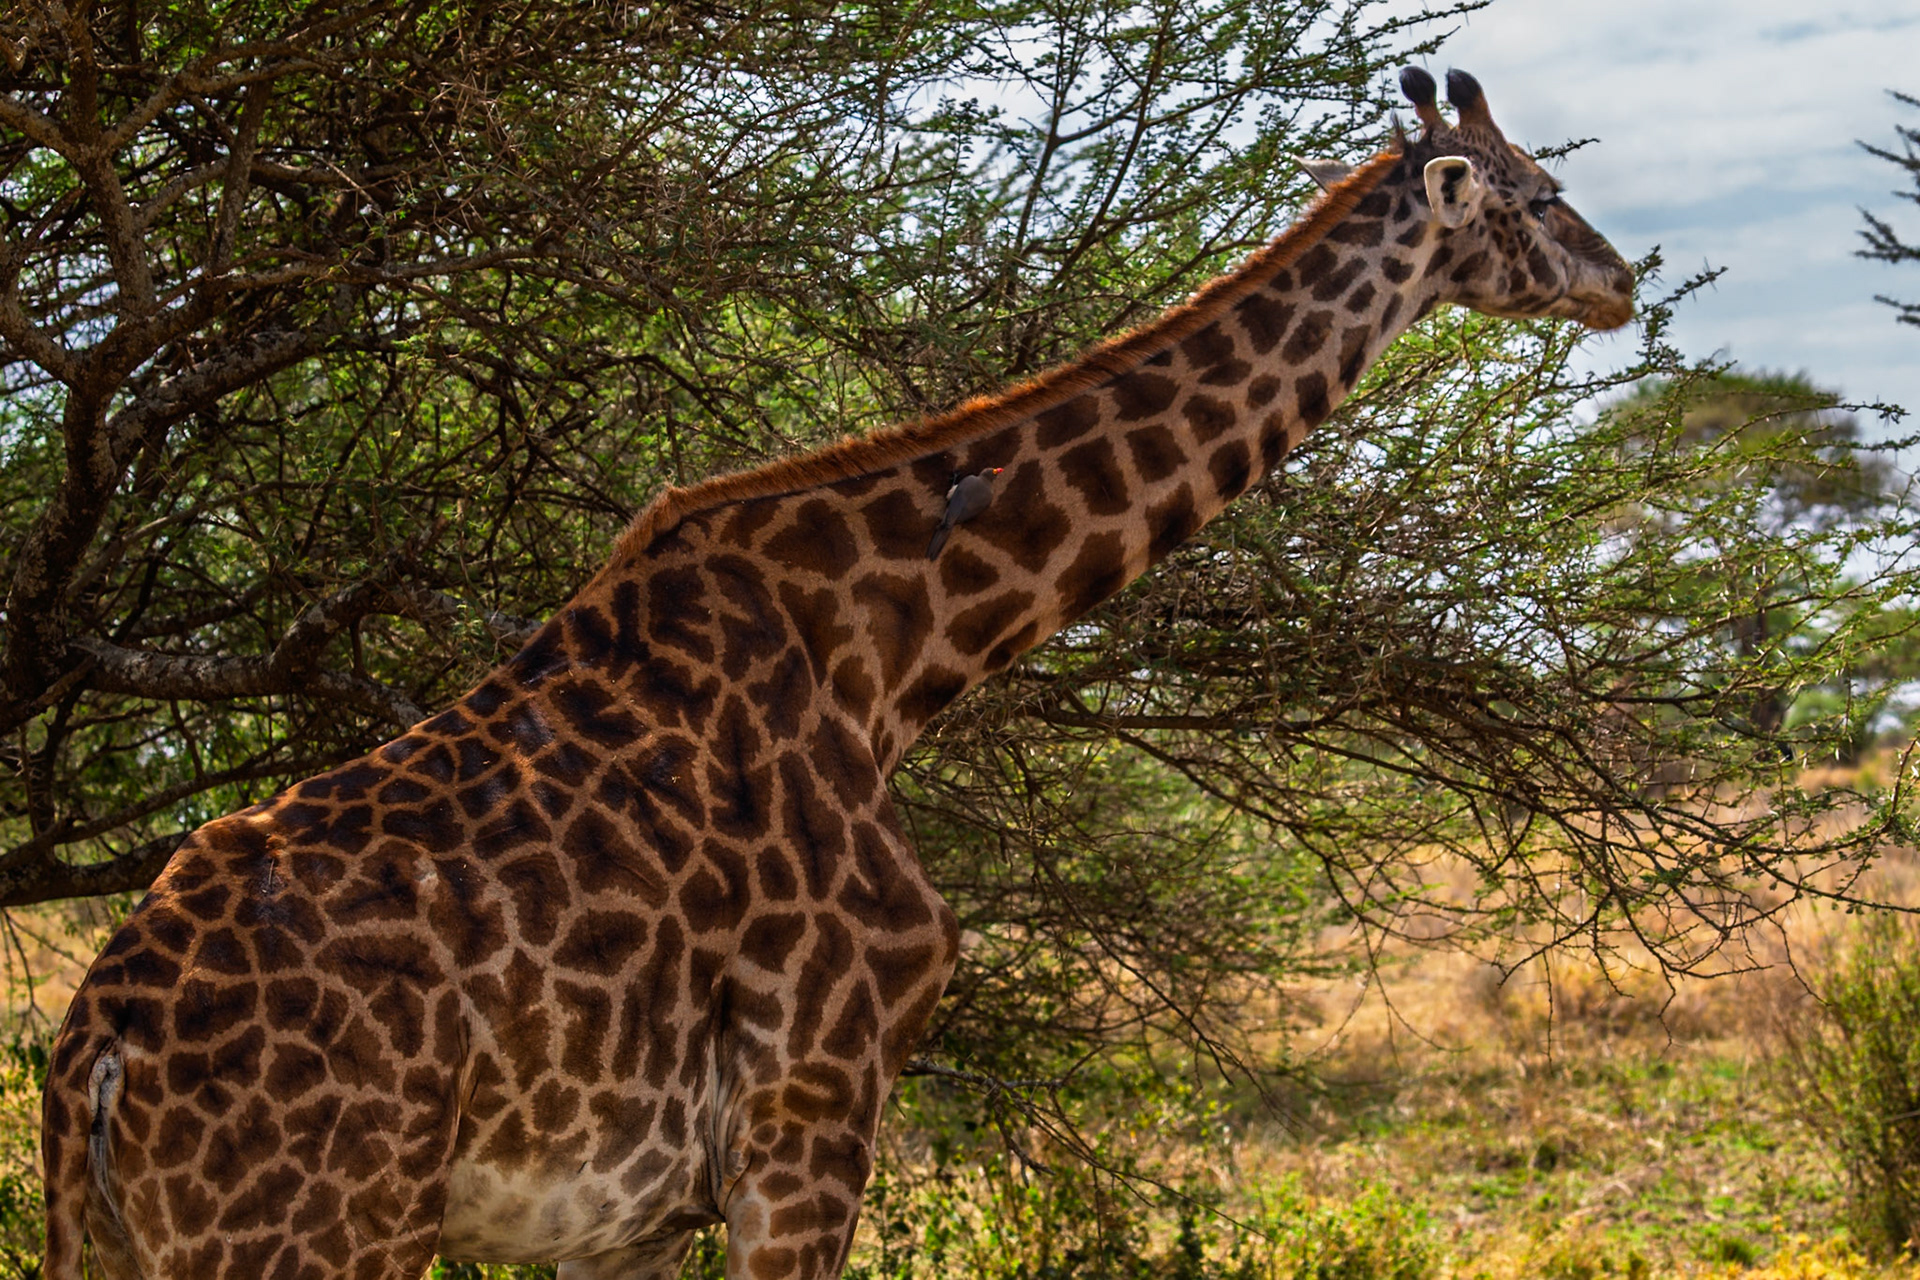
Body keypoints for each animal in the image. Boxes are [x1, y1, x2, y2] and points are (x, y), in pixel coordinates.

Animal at [42, 67, 1633, 1280]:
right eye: (1533, 197)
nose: (1621, 281)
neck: (887, 657)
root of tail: (98, 1056)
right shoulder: (810, 1112)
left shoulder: (626, 1216)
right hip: (313, 1240)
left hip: (121, 1244)